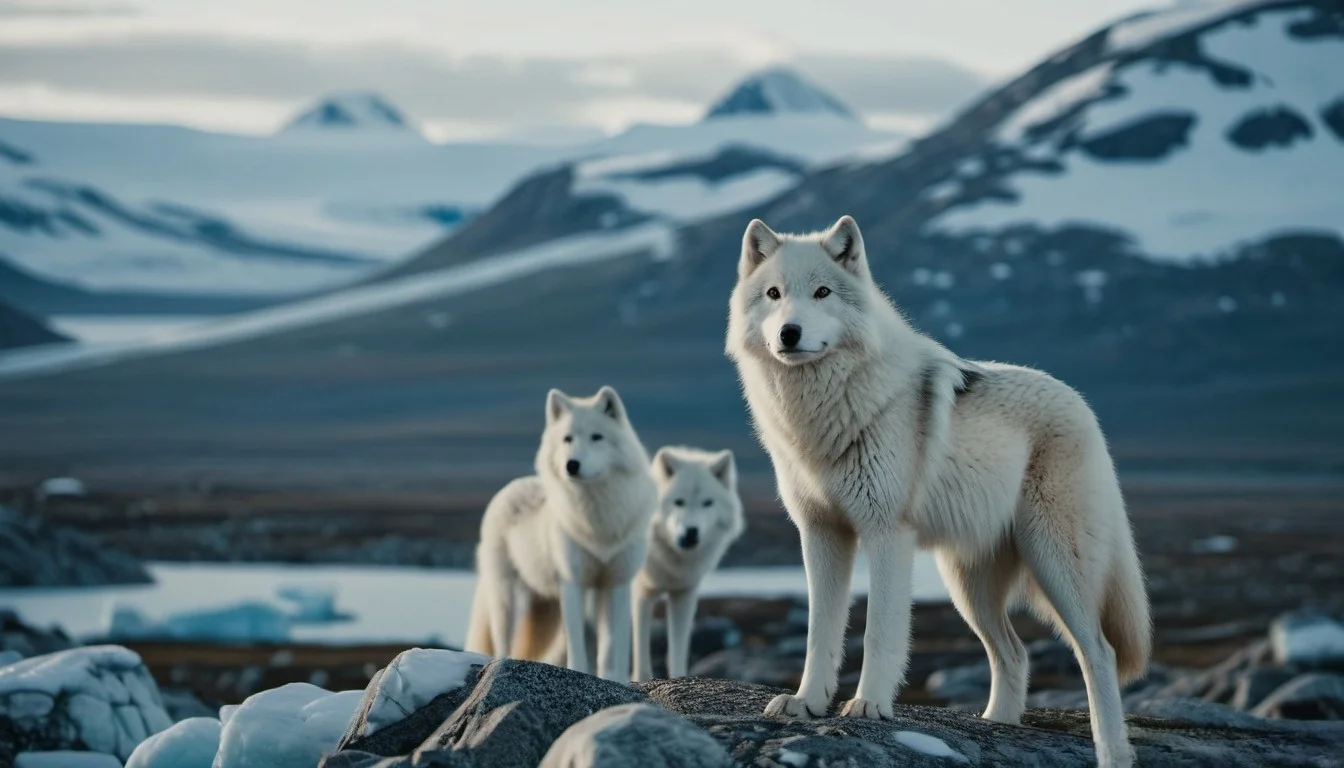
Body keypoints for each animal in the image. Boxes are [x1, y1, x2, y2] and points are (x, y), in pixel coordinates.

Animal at [464, 386, 657, 681]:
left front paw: (612, 680)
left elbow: (610, 648)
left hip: (547, 606)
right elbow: (577, 646)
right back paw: (498, 667)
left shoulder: (615, 584)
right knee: (503, 643)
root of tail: (512, 486)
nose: (572, 465)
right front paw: (579, 672)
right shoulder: (573, 583)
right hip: (507, 598)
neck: (597, 521)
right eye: (567, 439)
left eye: (596, 437)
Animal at [631, 446, 746, 681]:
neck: (673, 563)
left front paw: (678, 678)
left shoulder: (684, 595)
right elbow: (640, 653)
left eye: (707, 502)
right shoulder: (642, 592)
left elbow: (677, 651)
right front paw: (639, 680)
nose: (691, 532)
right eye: (679, 501)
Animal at [725, 216, 1151, 767]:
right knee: (1014, 653)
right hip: (967, 586)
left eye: (821, 292)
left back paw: (1111, 751)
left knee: (1099, 652)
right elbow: (821, 631)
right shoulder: (820, 534)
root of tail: (1083, 406)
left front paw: (868, 705)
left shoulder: (886, 533)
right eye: (774, 294)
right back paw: (996, 724)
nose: (788, 333)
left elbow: (879, 631)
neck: (820, 417)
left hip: (1055, 566)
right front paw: (807, 702)